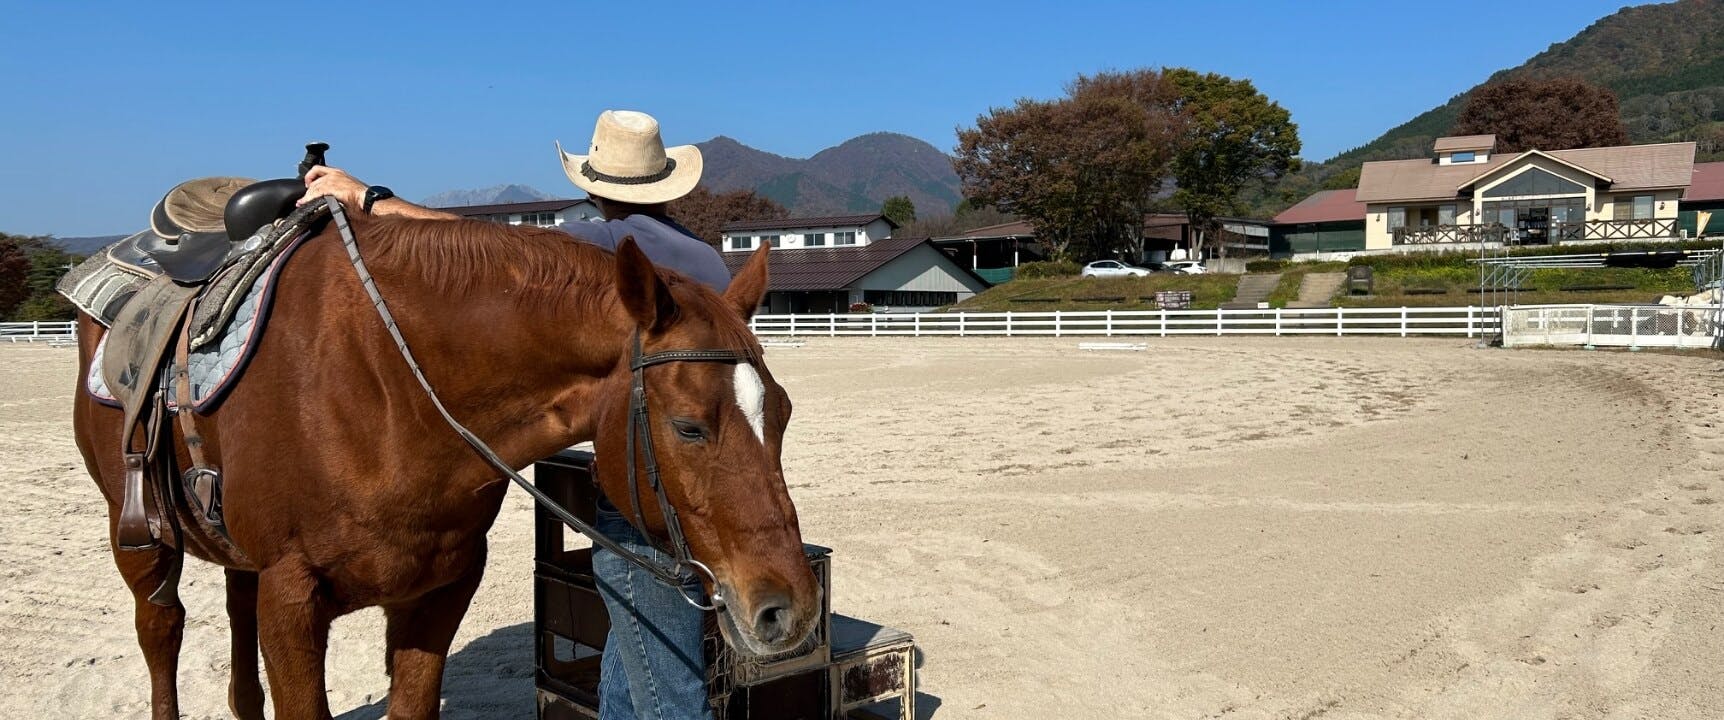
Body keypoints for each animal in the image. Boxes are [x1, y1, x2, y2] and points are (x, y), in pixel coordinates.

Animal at [71, 213, 820, 719]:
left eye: (783, 413)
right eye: (688, 426)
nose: (792, 609)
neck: (386, 390)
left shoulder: (441, 588)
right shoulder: (291, 596)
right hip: (136, 534)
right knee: (162, 629)